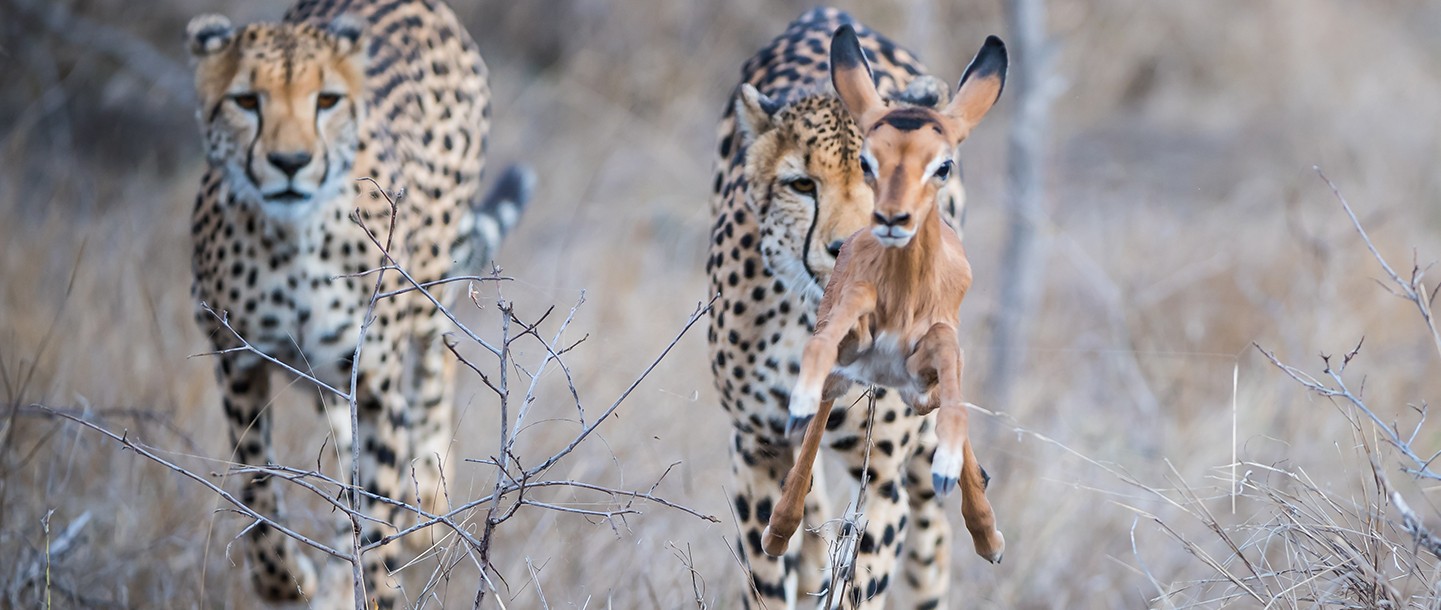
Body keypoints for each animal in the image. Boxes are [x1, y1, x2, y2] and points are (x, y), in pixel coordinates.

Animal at [185, 2, 530, 608]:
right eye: (246, 100)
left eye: (327, 100)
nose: (291, 162)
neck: (292, 241)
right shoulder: (238, 364)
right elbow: (257, 491)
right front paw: (289, 582)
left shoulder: (373, 386)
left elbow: (377, 521)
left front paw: (373, 582)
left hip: (428, 292)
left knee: (434, 376)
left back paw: (430, 502)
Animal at [706, 7, 968, 608]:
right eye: (802, 184)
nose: (848, 244)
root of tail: (828, 11)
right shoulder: (756, 446)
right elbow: (768, 572)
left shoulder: (881, 471)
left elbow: (857, 579)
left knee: (932, 534)